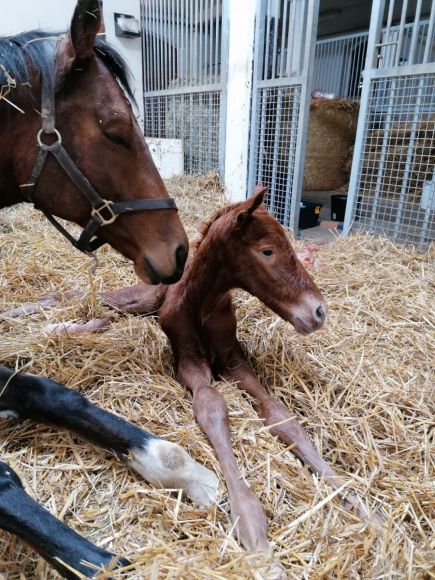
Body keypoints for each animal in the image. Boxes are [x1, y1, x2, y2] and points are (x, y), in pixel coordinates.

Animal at [104, 188, 382, 556]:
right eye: (267, 251)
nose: (319, 312)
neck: (202, 304)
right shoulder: (189, 363)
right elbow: (212, 407)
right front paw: (250, 522)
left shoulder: (234, 360)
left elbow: (280, 416)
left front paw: (355, 501)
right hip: (135, 301)